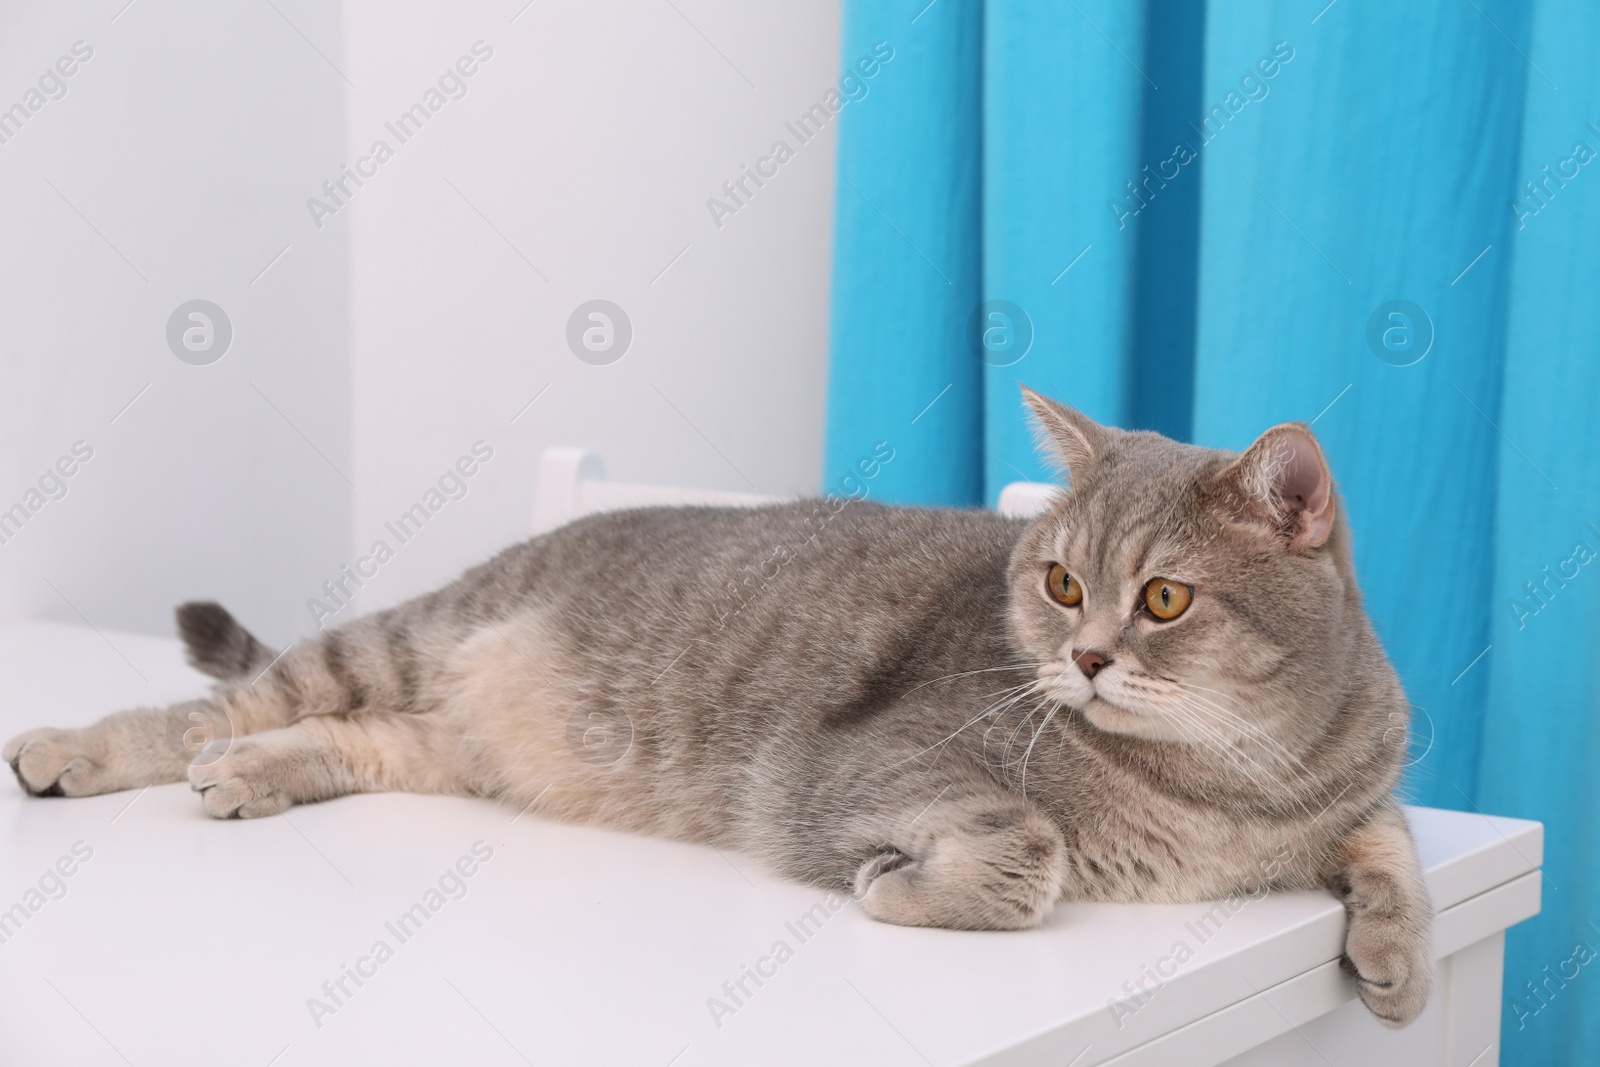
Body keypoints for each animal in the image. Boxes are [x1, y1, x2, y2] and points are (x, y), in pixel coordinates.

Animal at [0, 385, 1433, 1023]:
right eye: (1061, 579)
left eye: (1167, 600)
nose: (1079, 657)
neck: (1230, 781)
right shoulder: (841, 772)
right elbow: (1027, 850)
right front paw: (903, 885)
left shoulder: (1363, 788)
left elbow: (1393, 850)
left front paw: (1397, 960)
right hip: (389, 645)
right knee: (210, 708)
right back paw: (74, 748)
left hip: (445, 740)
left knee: (335, 738)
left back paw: (256, 773)